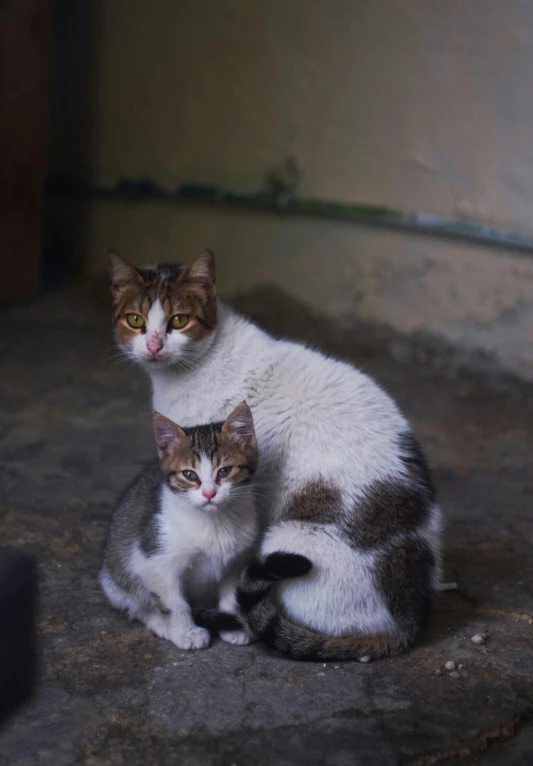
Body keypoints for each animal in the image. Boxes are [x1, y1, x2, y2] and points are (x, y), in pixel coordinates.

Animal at [101, 404, 258, 652]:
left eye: (224, 471)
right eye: (189, 474)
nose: (209, 493)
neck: (213, 522)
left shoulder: (239, 558)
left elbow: (232, 593)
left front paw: (233, 625)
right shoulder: (152, 558)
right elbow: (174, 602)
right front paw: (186, 633)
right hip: (115, 577)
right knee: (137, 603)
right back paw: (159, 623)